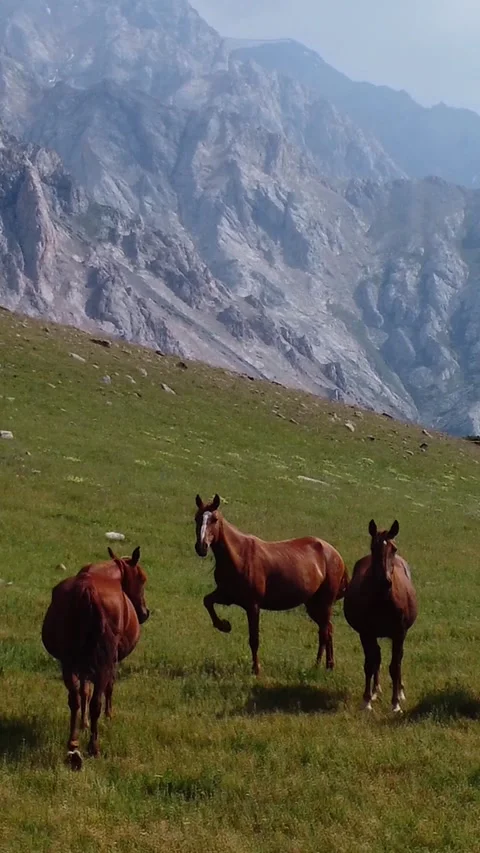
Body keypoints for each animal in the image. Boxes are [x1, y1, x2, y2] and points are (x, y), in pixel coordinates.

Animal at [42, 546, 149, 769]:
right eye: (142, 579)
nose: (145, 613)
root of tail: (87, 590)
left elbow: (84, 691)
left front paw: (83, 724)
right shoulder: (112, 661)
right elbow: (108, 688)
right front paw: (109, 716)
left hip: (69, 661)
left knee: (75, 698)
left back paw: (73, 744)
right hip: (102, 663)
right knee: (96, 702)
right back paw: (94, 747)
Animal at [194, 494, 348, 675]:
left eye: (215, 519)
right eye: (197, 518)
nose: (201, 547)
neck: (239, 556)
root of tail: (336, 555)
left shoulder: (253, 605)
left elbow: (254, 639)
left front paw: (256, 669)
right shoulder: (226, 595)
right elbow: (207, 601)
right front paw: (224, 625)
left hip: (324, 604)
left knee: (325, 632)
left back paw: (320, 666)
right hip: (313, 605)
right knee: (327, 630)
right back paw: (326, 666)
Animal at [343, 520, 417, 713]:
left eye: (394, 548)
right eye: (373, 547)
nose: (385, 581)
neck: (383, 599)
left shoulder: (399, 633)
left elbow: (395, 666)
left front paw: (396, 703)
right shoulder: (366, 633)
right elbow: (370, 663)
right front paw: (366, 701)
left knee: (397, 659)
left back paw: (399, 691)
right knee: (376, 657)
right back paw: (375, 690)